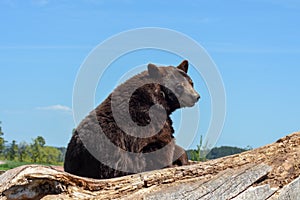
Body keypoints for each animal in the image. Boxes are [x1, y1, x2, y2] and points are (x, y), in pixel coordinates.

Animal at [63, 60, 199, 179]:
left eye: (191, 83)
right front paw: (176, 160)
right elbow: (162, 144)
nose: (196, 96)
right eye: (179, 86)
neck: (158, 97)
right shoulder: (147, 120)